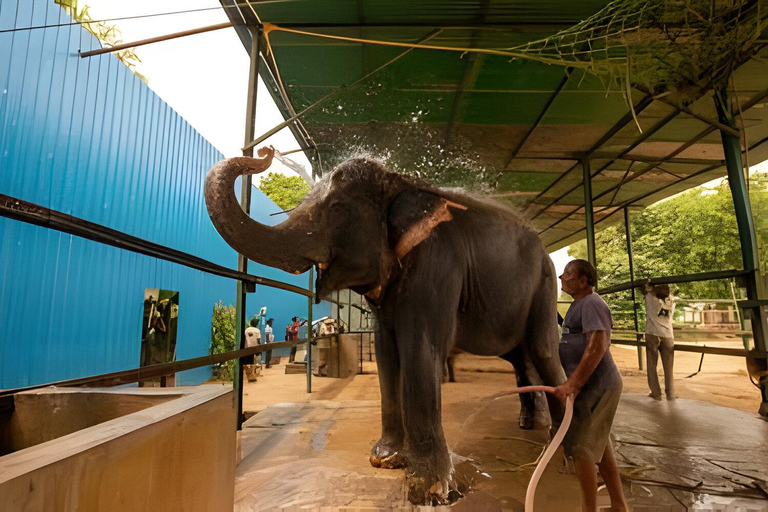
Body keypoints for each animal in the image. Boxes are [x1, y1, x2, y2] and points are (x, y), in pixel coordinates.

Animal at [207, 147, 568, 504]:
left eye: (337, 209)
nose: (265, 150)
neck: (398, 181)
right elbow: (385, 353)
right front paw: (385, 459)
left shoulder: (437, 262)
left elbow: (421, 350)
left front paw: (429, 491)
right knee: (520, 357)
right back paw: (530, 425)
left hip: (545, 283)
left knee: (542, 351)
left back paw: (560, 443)